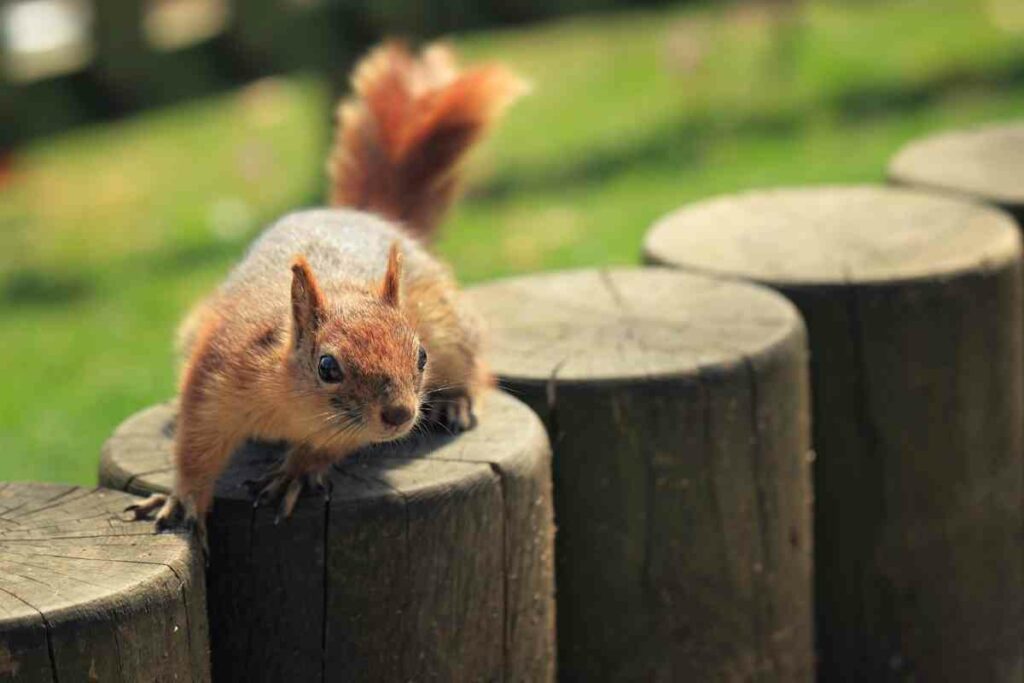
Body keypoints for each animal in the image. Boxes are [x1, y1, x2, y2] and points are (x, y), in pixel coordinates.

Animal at [127, 42, 526, 534]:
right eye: (328, 367)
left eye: (421, 356)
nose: (400, 415)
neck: (291, 404)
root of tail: (362, 215)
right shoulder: (215, 370)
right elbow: (195, 445)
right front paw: (180, 499)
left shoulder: (349, 426)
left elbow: (329, 446)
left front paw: (297, 470)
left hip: (450, 323)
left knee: (477, 364)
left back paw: (458, 399)